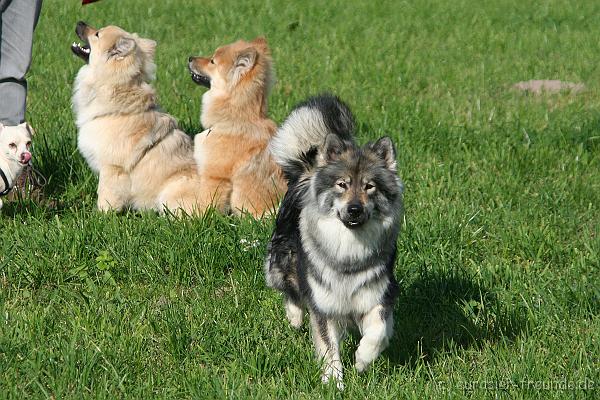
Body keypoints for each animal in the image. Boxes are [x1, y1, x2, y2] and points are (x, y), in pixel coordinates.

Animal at [71, 21, 203, 216]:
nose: (80, 22)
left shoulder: (112, 169)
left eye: (96, 34)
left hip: (170, 191)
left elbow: (106, 195)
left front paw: (101, 215)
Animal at [188, 37, 286, 217]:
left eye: (212, 61)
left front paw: (195, 218)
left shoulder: (214, 177)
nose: (190, 58)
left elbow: (205, 204)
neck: (232, 119)